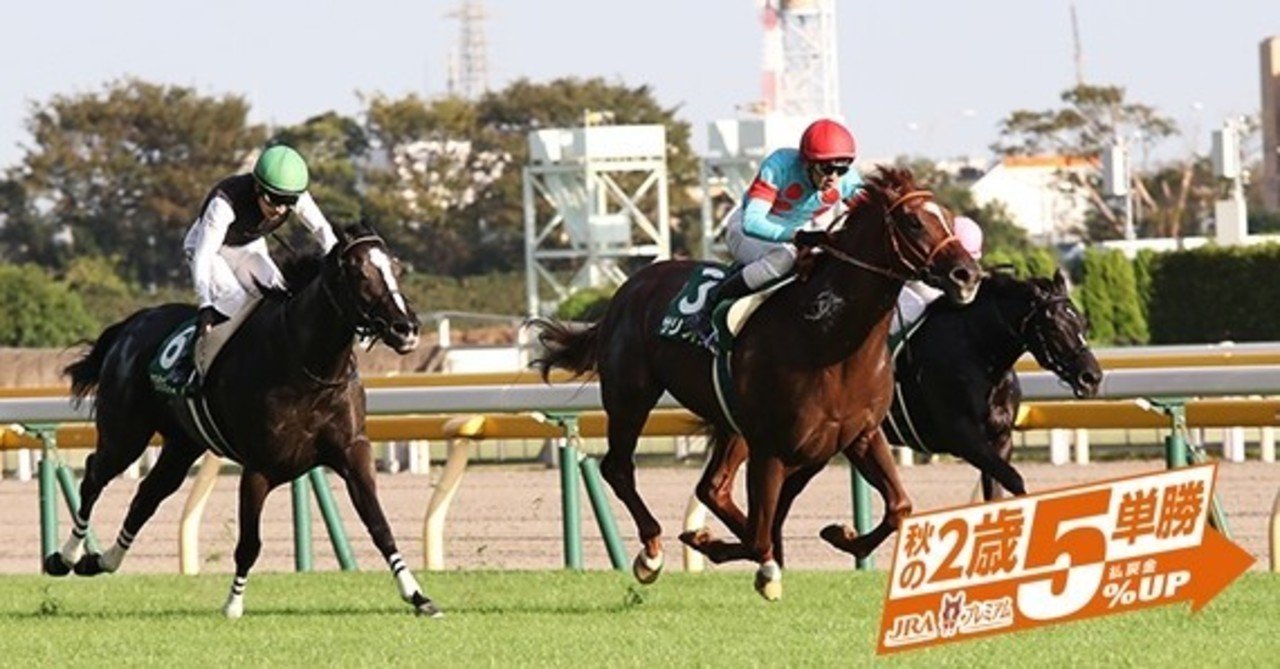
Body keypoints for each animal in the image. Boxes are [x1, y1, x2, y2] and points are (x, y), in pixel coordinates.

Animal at [44, 222, 442, 618]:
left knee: (147, 495)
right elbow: (249, 542)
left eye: (396, 268)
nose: (407, 328)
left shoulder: (352, 452)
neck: (307, 365)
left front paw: (418, 595)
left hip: (182, 445)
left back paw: (102, 560)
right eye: (359, 272)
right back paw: (65, 557)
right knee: (94, 476)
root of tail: (131, 325)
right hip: (125, 434)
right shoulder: (258, 468)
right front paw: (233, 603)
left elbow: (379, 525)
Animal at [530, 166, 982, 600]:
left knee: (713, 489)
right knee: (620, 467)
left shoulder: (860, 436)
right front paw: (757, 565)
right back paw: (652, 553)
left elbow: (898, 507)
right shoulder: (771, 447)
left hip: (730, 422)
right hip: (631, 394)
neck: (827, 339)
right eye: (913, 222)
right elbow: (762, 530)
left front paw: (840, 535)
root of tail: (629, 288)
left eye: (945, 216)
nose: (967, 274)